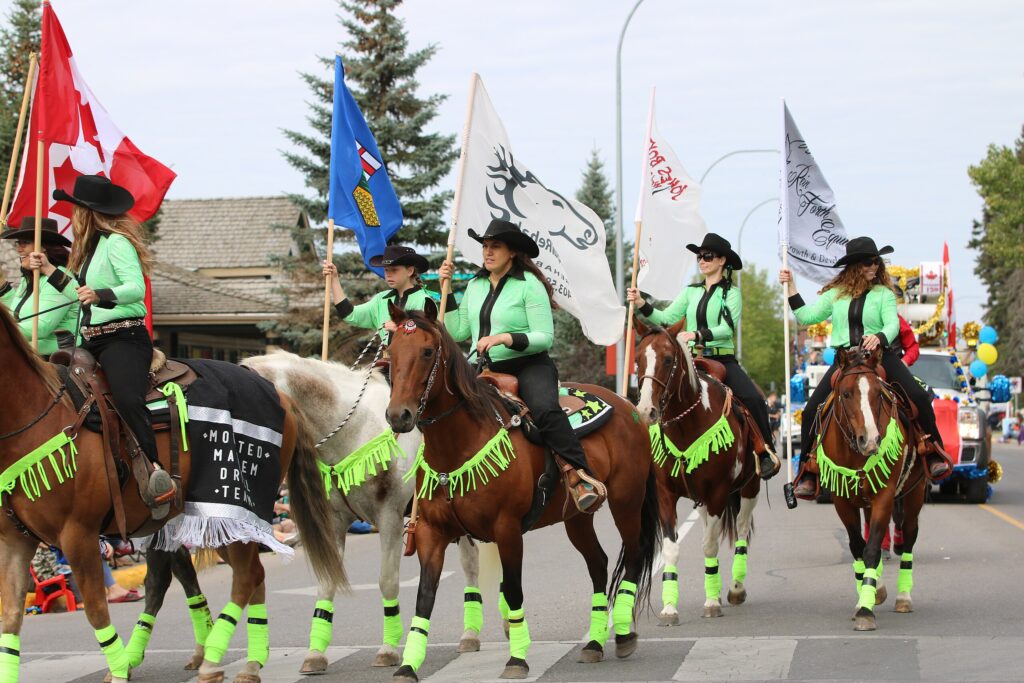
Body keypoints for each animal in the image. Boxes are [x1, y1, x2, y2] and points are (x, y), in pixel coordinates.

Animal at [0, 305, 346, 683]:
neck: (40, 416)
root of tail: (277, 393)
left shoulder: (78, 534)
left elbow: (95, 610)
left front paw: (119, 670)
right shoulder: (15, 541)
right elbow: (11, 617)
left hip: (231, 510)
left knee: (246, 575)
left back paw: (213, 661)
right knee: (243, 575)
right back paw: (249, 661)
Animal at [122, 352, 483, 671]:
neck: (356, 428)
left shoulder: (390, 517)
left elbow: (387, 581)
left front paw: (388, 649)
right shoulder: (334, 521)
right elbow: (327, 582)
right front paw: (315, 655)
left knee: (469, 563)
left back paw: (470, 635)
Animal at [380, 307, 659, 679]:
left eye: (427, 352)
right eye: (391, 353)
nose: (399, 415)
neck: (459, 444)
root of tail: (630, 408)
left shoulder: (507, 529)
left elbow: (513, 590)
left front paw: (517, 658)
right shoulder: (431, 533)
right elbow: (424, 598)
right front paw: (408, 665)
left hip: (626, 502)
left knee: (633, 555)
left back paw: (624, 634)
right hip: (576, 517)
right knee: (598, 564)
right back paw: (594, 643)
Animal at [630, 317, 761, 622]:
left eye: (668, 359)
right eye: (638, 359)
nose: (646, 411)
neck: (685, 424)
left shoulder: (717, 493)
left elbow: (709, 546)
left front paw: (712, 602)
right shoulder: (666, 494)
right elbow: (671, 548)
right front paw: (669, 607)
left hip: (750, 488)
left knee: (740, 530)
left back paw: (735, 589)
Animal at [815, 350, 929, 634]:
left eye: (879, 393)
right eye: (846, 394)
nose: (870, 440)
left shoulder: (884, 498)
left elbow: (872, 548)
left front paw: (866, 609)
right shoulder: (842, 501)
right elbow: (858, 546)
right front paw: (866, 596)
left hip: (914, 494)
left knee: (909, 537)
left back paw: (903, 597)